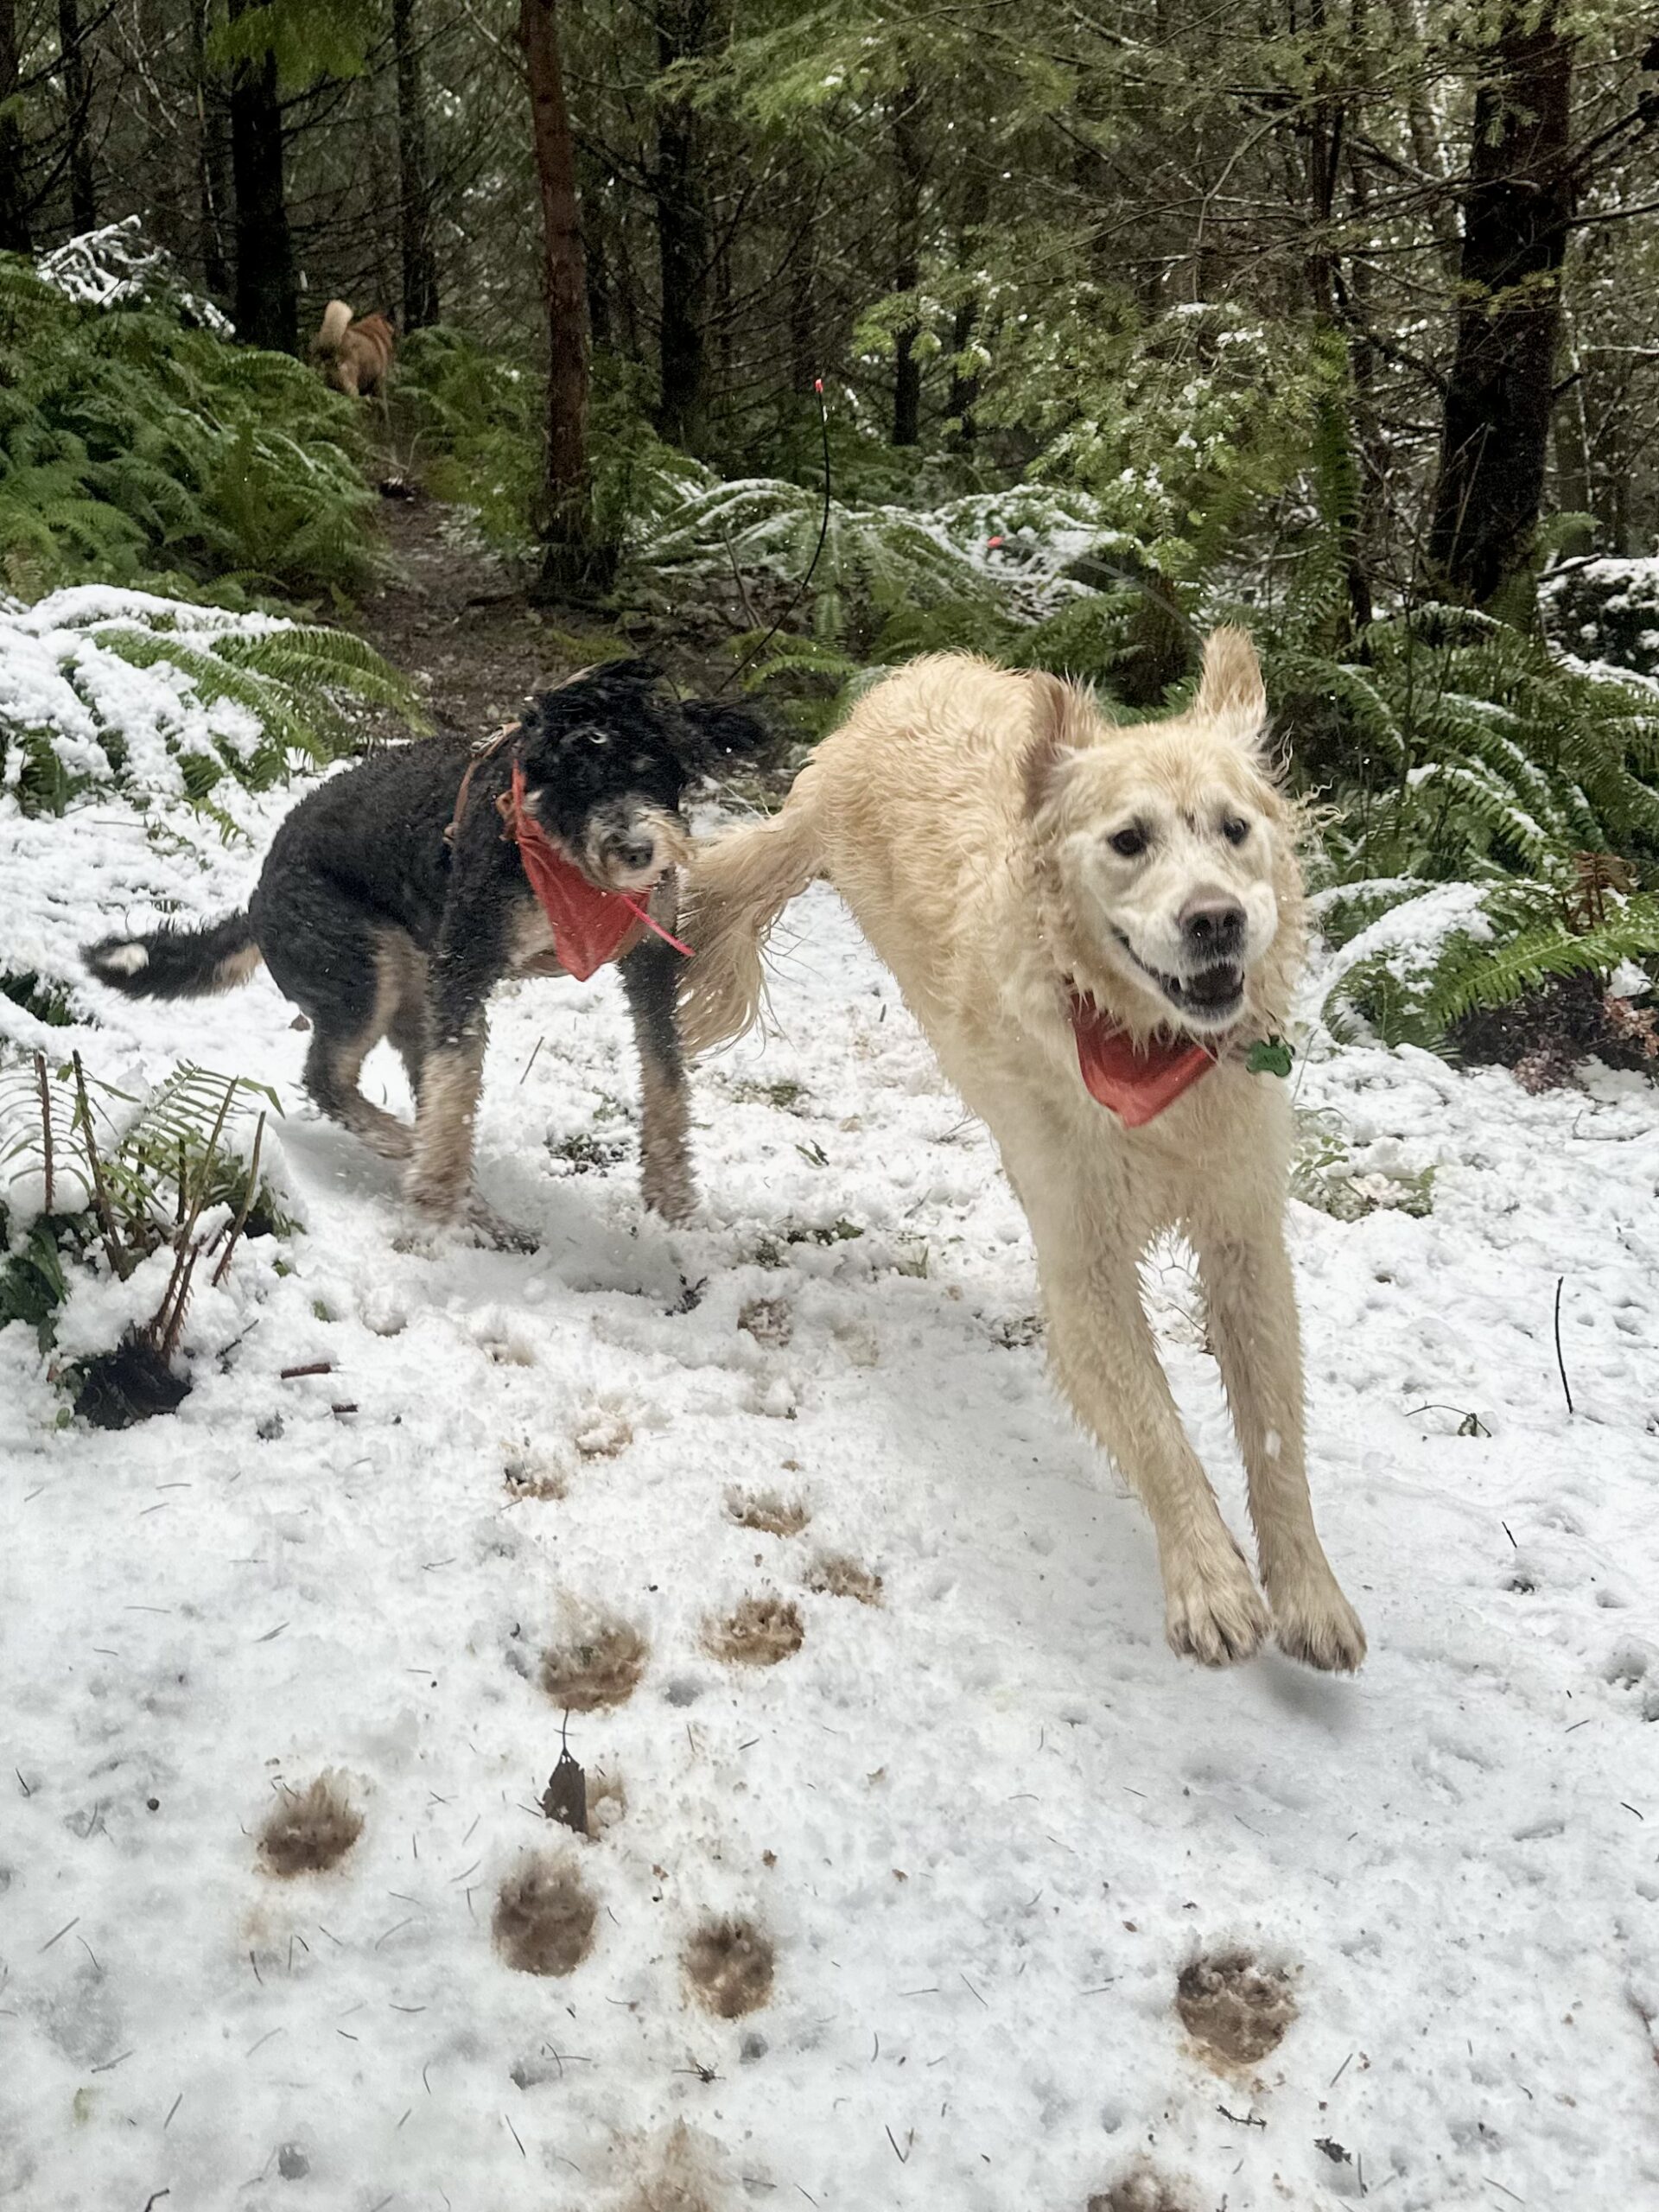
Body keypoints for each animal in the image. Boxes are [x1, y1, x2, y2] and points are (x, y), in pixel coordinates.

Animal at [87, 664, 765, 1238]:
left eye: (650, 768)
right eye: (576, 774)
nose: (635, 851)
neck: (563, 864)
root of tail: (258, 897)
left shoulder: (649, 961)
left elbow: (665, 1077)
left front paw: (673, 1198)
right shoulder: (467, 964)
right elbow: (457, 1089)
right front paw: (433, 1202)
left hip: (415, 999)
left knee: (418, 1091)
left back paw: (478, 1210)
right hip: (364, 974)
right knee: (332, 1081)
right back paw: (413, 1157)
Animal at [681, 632, 1371, 1663]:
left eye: (1235, 829)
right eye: (1129, 840)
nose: (1217, 919)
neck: (1150, 1049)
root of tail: (897, 685)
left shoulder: (1246, 1234)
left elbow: (1276, 1433)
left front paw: (1309, 1592)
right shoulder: (1083, 1263)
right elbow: (1157, 1427)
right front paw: (1210, 1584)